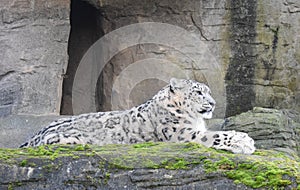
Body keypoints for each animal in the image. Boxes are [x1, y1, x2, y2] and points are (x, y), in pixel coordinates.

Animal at [19, 78, 255, 154]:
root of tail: (33, 137)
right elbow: (213, 135)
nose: (213, 103)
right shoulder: (182, 134)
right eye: (198, 92)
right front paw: (245, 141)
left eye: (208, 91)